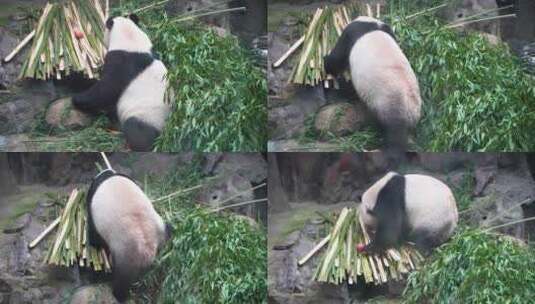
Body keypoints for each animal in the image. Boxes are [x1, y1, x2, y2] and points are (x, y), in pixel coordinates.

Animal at [72, 14, 171, 152]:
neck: (130, 40)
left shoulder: (121, 63)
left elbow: (106, 90)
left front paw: (77, 98)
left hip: (148, 116)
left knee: (137, 131)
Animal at [87, 169, 172, 302]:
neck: (108, 175)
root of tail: (148, 248)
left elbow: (94, 236)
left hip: (125, 253)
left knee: (122, 280)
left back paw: (118, 295)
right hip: (160, 228)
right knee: (168, 229)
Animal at [322, 16, 422, 150]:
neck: (372, 24)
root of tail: (412, 114)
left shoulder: (351, 34)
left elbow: (336, 59)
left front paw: (324, 62)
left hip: (391, 105)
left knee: (394, 134)